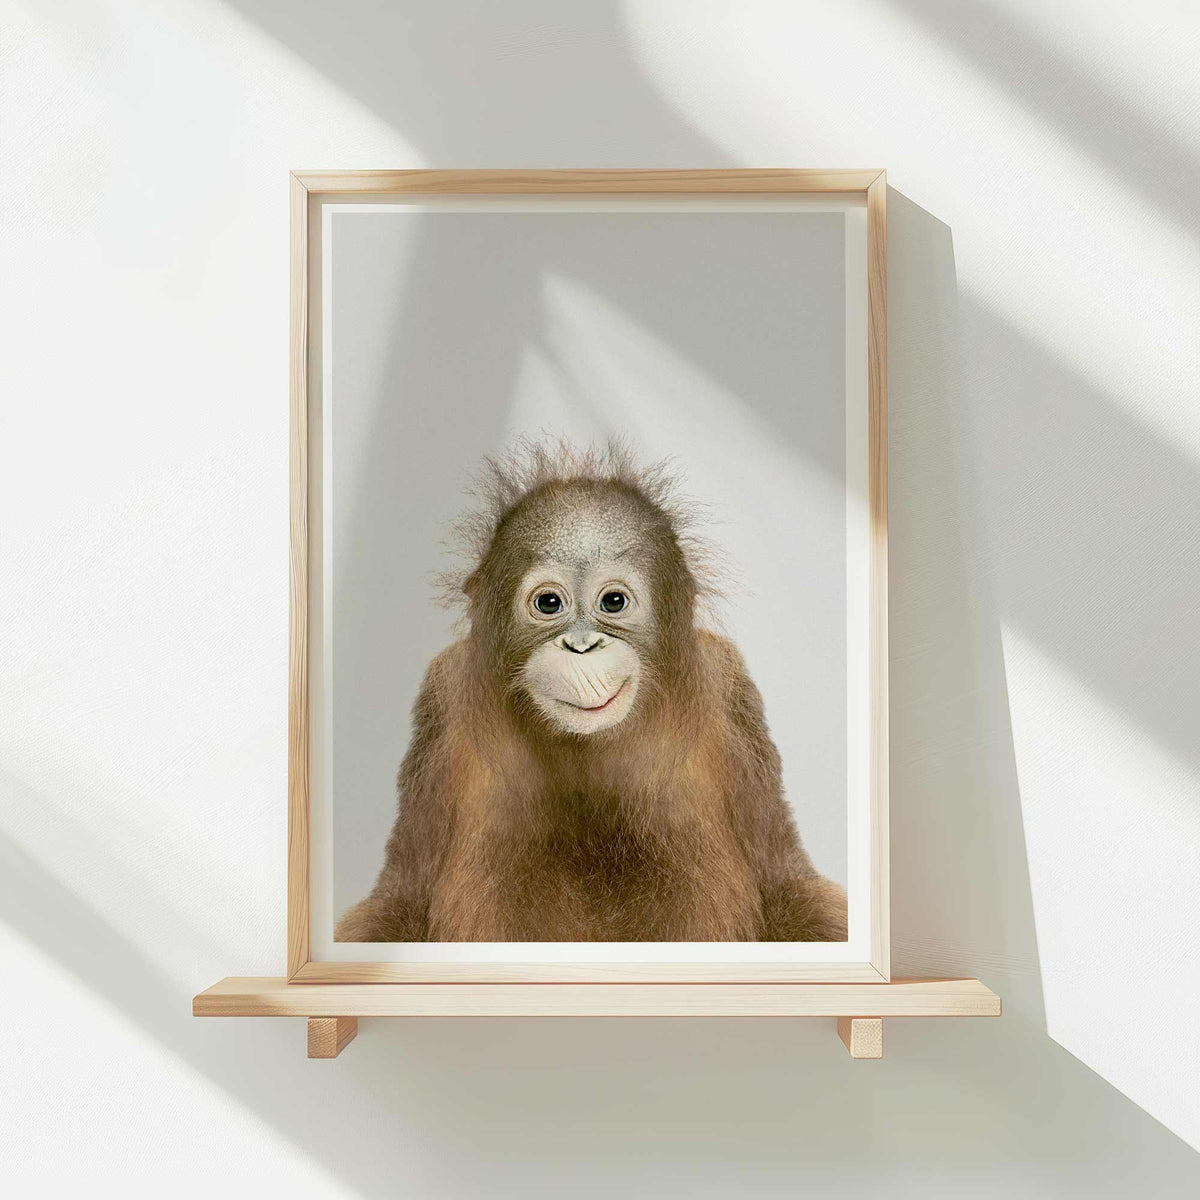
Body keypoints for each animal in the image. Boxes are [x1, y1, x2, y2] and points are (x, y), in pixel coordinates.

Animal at [336, 441, 847, 943]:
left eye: (613, 602)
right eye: (549, 603)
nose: (581, 646)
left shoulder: (731, 685)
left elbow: (785, 889)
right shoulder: (441, 695)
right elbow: (402, 903)